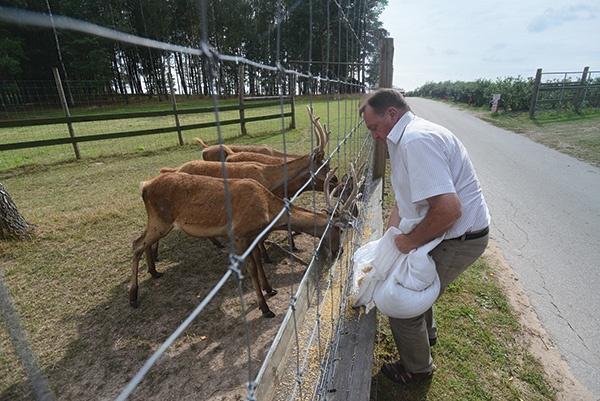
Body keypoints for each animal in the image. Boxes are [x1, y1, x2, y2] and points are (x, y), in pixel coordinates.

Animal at [130, 167, 356, 318]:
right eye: (340, 229)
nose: (341, 251)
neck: (267, 211)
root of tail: (144, 186)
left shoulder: (253, 236)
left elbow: (258, 261)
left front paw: (270, 289)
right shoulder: (239, 234)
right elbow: (252, 268)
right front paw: (265, 308)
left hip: (158, 221)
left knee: (142, 241)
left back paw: (154, 271)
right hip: (161, 220)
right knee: (136, 244)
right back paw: (133, 297)